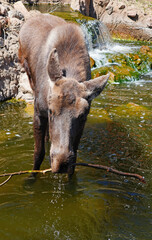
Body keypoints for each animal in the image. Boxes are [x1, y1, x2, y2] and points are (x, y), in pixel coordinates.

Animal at [18, 13, 109, 174]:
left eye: (82, 116)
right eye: (51, 111)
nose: (62, 163)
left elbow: (75, 157)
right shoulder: (38, 112)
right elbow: (38, 153)